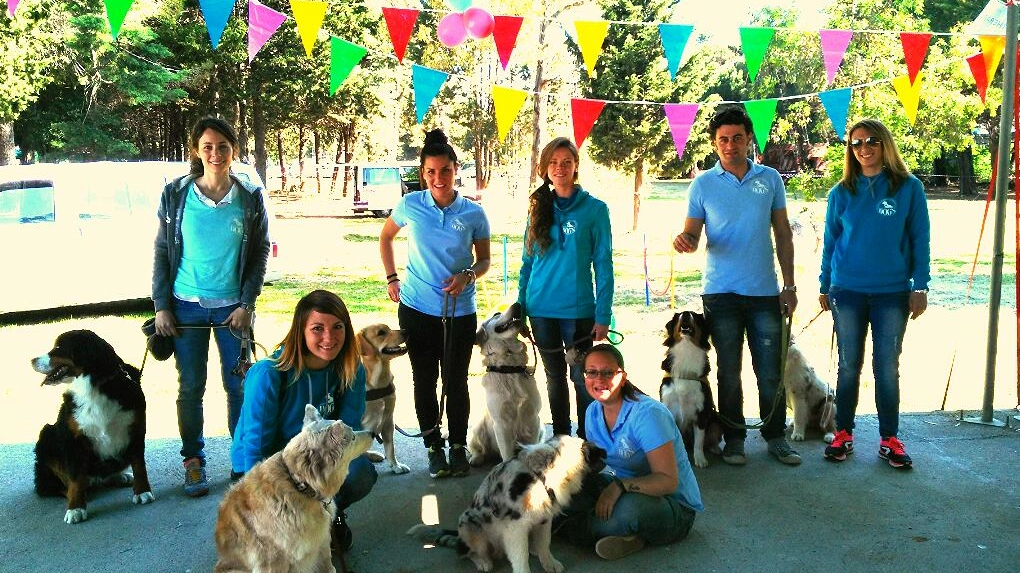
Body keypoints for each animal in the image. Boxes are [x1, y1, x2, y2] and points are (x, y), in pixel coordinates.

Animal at [31, 328, 154, 519]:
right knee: (56, 484)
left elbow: (139, 465)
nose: (32, 361)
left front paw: (142, 492)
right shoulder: (73, 438)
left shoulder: (136, 428)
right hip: (47, 434)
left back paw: (121, 476)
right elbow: (75, 476)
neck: (95, 387)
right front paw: (75, 508)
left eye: (58, 348)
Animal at [467, 301, 546, 466]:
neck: (509, 368)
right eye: (496, 314)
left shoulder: (533, 418)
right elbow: (508, 456)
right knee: (478, 449)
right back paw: (476, 458)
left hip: (542, 426)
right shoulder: (501, 423)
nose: (518, 304)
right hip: (477, 427)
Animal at [656, 309, 722, 466]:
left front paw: (700, 459)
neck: (686, 349)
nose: (685, 314)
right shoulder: (668, 403)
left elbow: (699, 441)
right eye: (680, 314)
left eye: (695, 317)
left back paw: (715, 448)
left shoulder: (702, 411)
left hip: (716, 419)